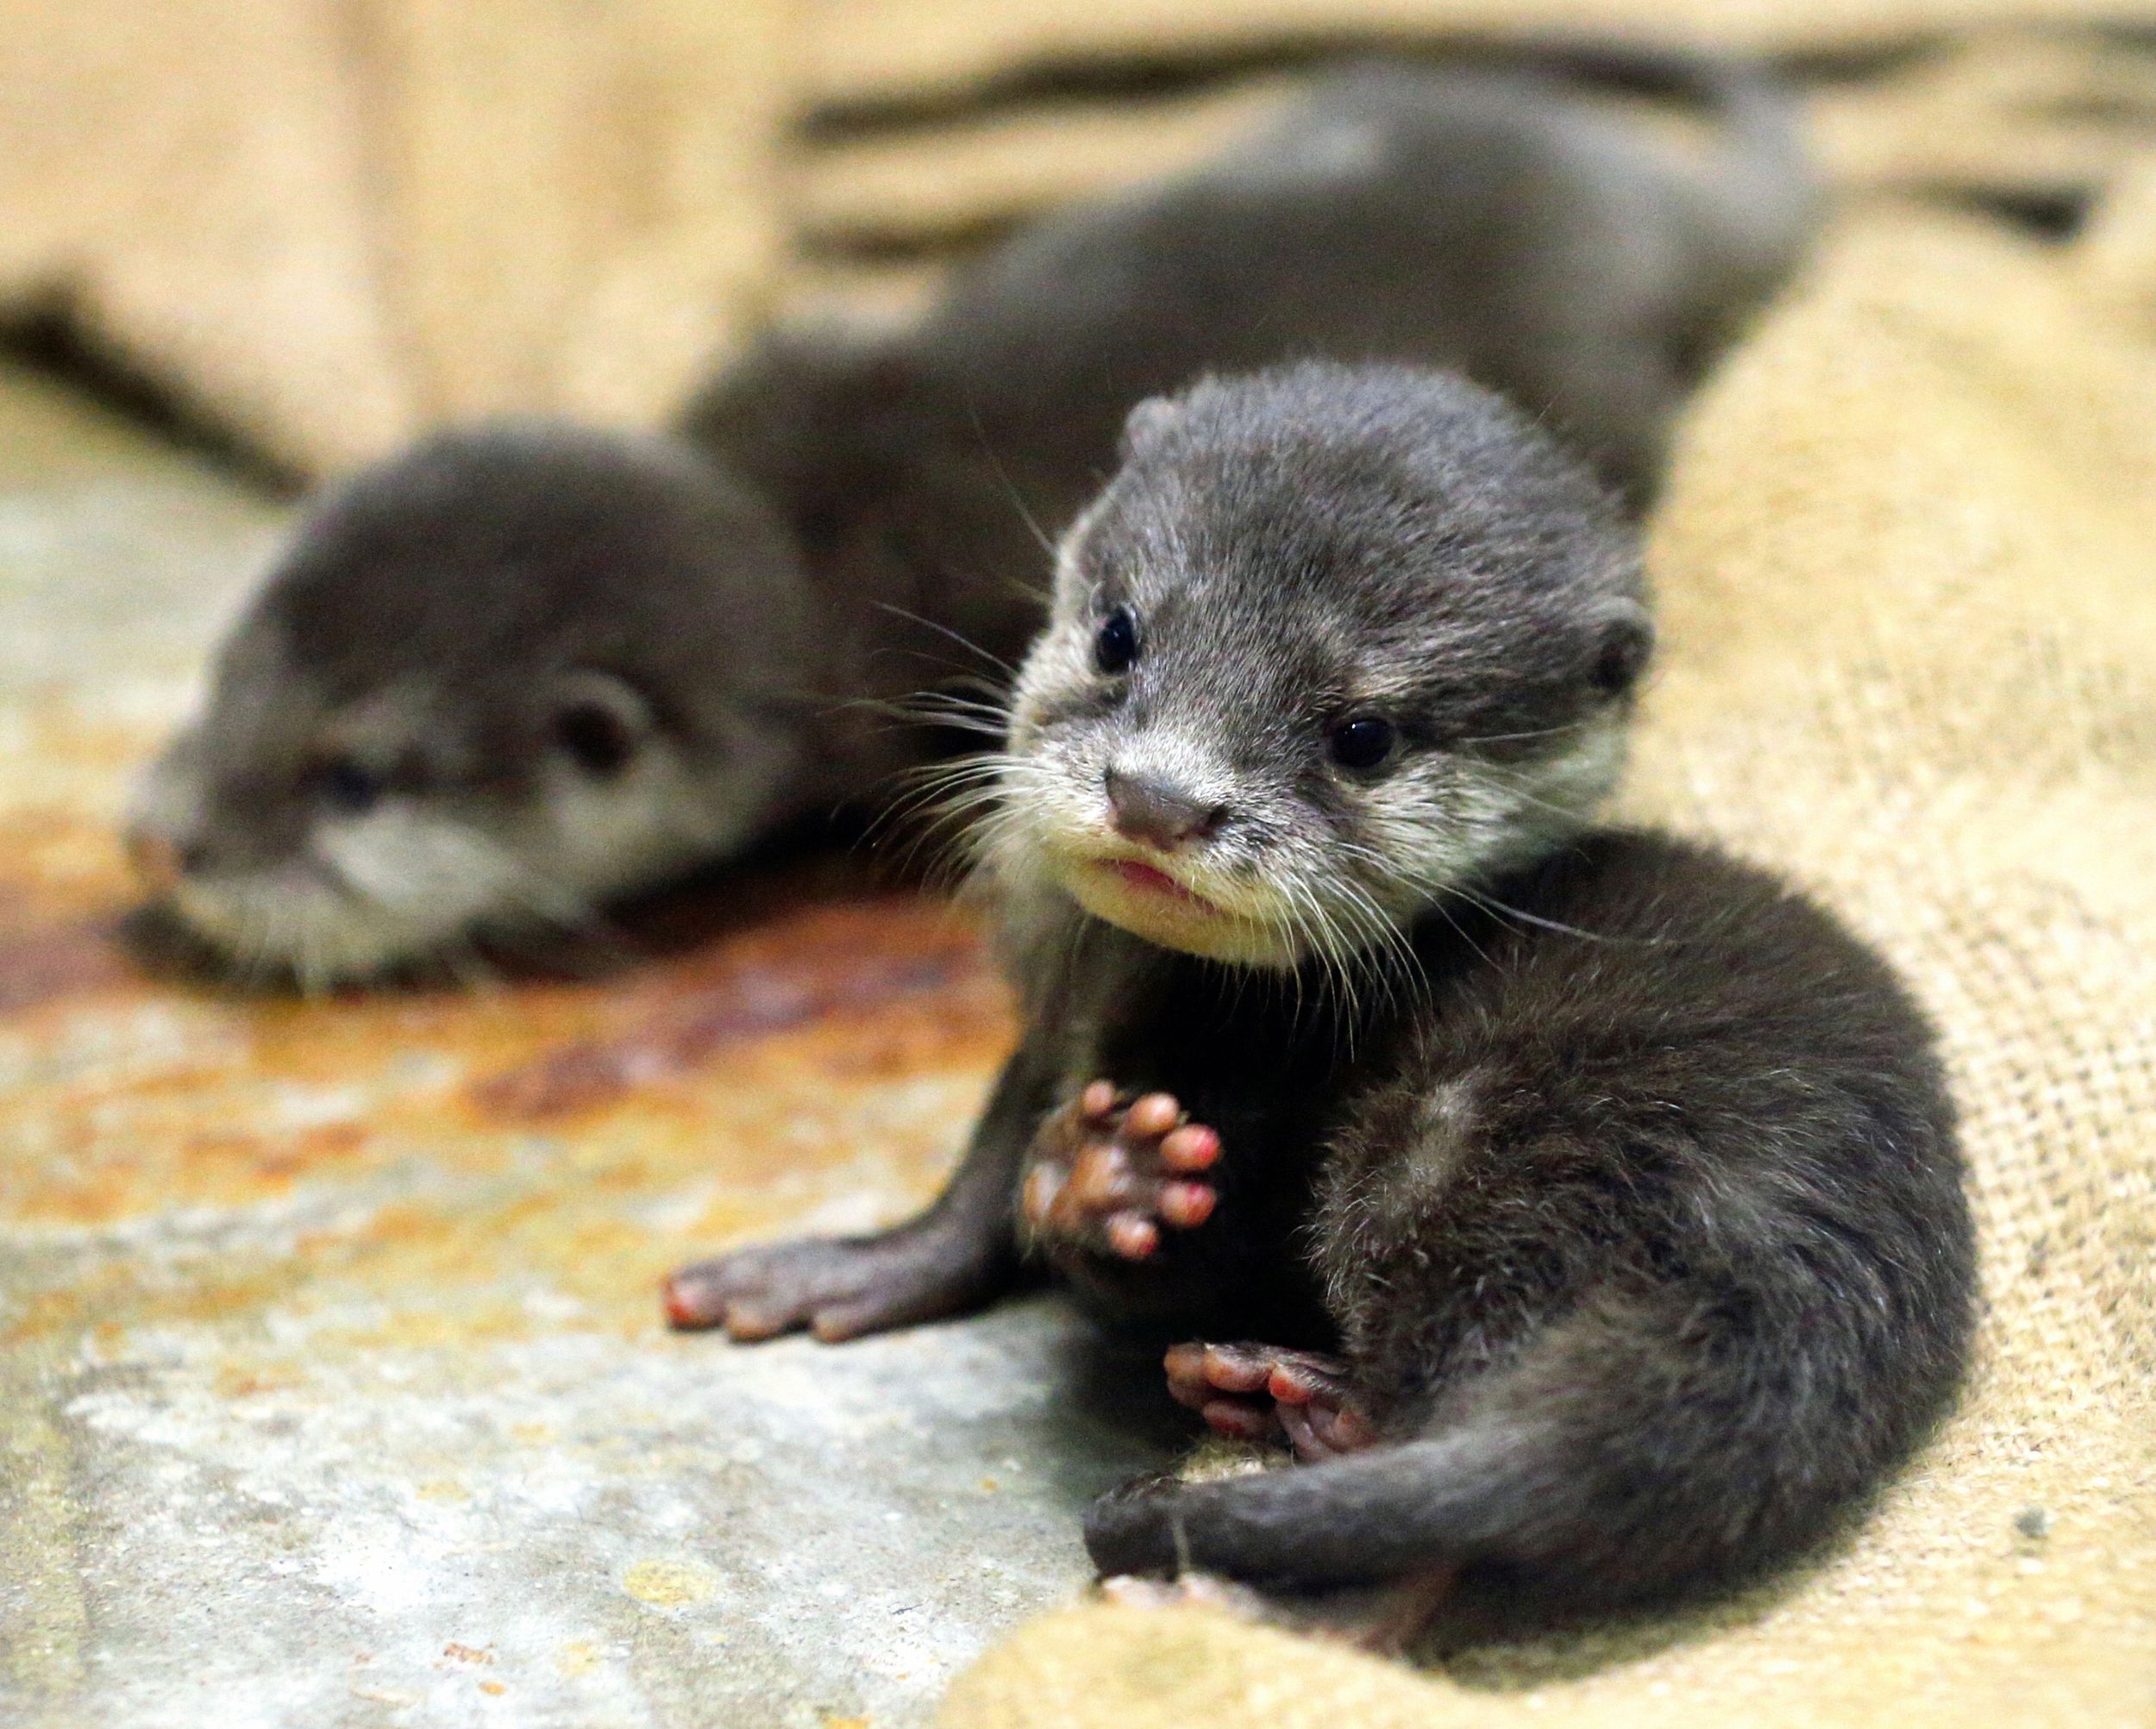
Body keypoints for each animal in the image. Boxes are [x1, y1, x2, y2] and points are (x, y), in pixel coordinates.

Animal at [666, 364, 1974, 1634]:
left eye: (1363, 734)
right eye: (1118, 633)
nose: (1158, 796)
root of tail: (1791, 1286)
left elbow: (1181, 1255)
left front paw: (1112, 1181)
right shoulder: (1046, 1037)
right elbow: (977, 1191)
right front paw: (851, 1265)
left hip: (1456, 1158)